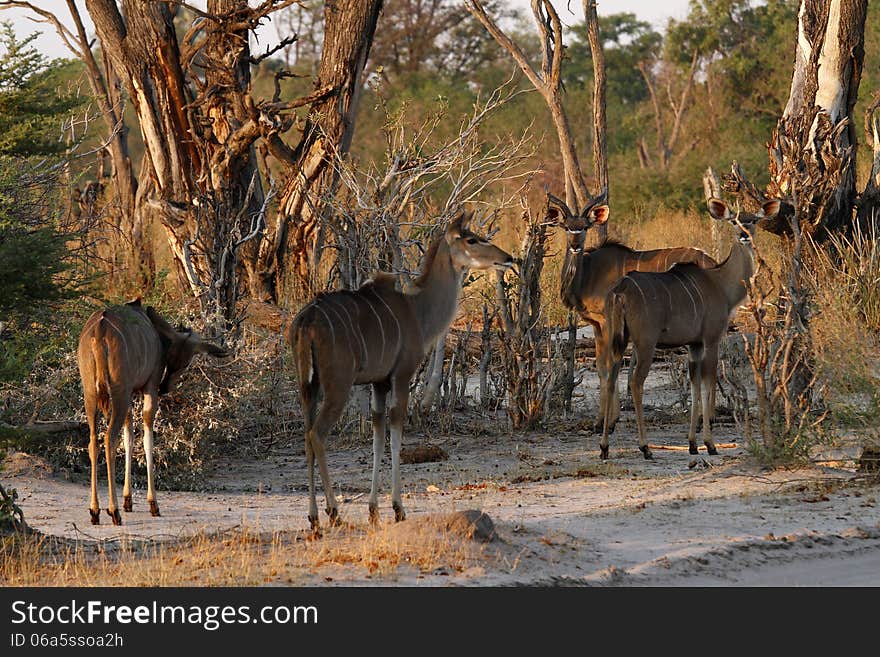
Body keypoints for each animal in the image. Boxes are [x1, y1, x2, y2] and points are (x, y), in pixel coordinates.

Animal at [77, 300, 227, 524]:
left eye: (183, 363)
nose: (164, 388)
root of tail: (100, 330)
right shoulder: (149, 386)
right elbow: (147, 437)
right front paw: (153, 504)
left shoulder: (131, 394)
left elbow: (129, 437)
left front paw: (128, 500)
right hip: (119, 392)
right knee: (109, 438)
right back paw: (113, 511)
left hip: (91, 393)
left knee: (93, 440)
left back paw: (95, 511)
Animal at [288, 213, 516, 532]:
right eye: (471, 239)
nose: (507, 258)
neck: (418, 310)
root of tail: (306, 321)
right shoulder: (401, 377)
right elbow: (395, 435)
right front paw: (398, 509)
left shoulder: (379, 384)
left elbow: (377, 437)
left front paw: (373, 510)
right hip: (338, 385)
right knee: (317, 434)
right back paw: (333, 512)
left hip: (307, 386)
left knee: (306, 436)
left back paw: (313, 519)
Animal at [548, 192, 720, 434]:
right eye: (566, 227)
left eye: (584, 227)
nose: (574, 246)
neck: (589, 273)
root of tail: (712, 262)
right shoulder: (596, 325)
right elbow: (601, 367)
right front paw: (605, 420)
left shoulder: (608, 322)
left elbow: (610, 366)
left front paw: (606, 423)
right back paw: (709, 419)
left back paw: (706, 420)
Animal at [600, 197, 780, 458]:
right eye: (734, 220)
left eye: (754, 220)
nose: (744, 235)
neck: (721, 283)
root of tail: (620, 290)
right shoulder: (711, 338)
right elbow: (707, 381)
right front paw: (710, 444)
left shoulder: (694, 345)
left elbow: (694, 384)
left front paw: (693, 444)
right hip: (645, 342)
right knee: (635, 381)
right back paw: (645, 447)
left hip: (619, 339)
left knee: (611, 376)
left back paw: (604, 447)